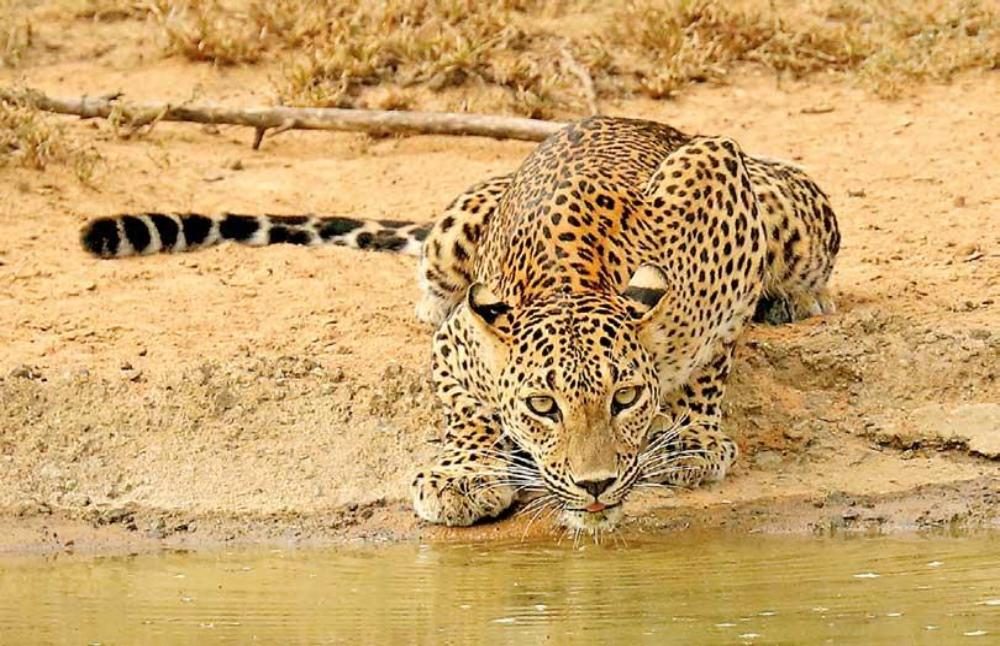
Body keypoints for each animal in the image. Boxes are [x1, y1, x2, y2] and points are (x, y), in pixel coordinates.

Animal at [80, 116, 839, 534]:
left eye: (624, 399)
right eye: (542, 406)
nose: (595, 485)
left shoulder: (720, 184)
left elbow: (712, 358)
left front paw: (693, 435)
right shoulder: (456, 342)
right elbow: (464, 406)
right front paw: (463, 474)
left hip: (792, 212)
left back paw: (793, 303)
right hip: (452, 235)